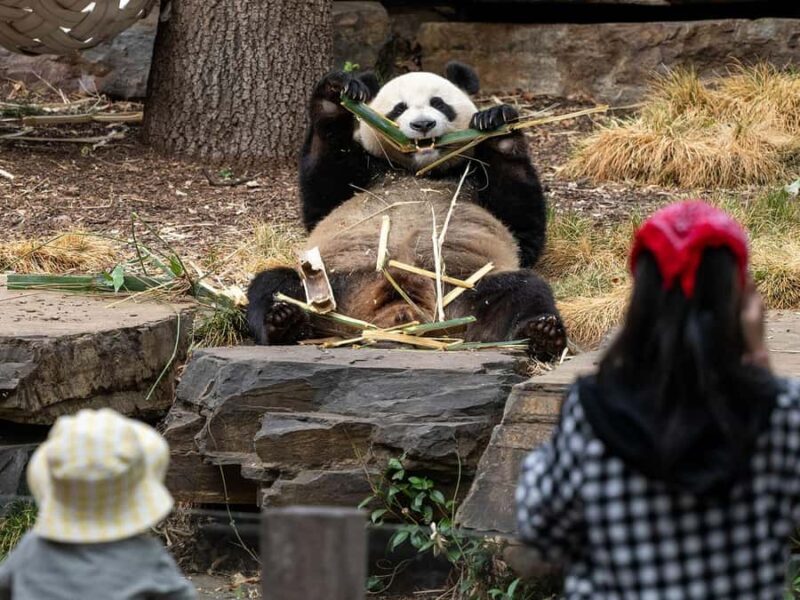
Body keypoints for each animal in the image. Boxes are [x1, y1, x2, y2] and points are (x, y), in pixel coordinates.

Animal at [247, 62, 566, 359]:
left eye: (439, 103)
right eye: (399, 108)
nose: (423, 124)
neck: (421, 171)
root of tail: (400, 317)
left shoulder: (471, 174)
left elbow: (523, 230)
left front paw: (498, 125)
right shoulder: (366, 173)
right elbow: (323, 195)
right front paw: (336, 95)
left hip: (464, 289)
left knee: (524, 290)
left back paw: (541, 333)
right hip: (332, 284)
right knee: (274, 283)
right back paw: (282, 321)